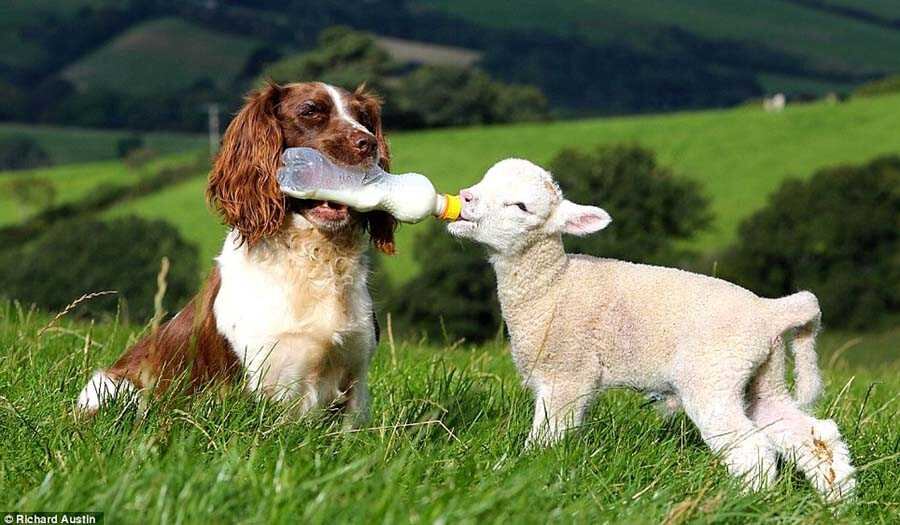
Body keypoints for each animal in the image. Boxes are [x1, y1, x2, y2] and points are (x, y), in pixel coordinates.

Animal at [447, 158, 856, 502]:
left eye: (520, 207)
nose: (465, 197)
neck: (553, 286)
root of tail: (770, 312)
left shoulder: (568, 374)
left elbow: (548, 435)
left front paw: (524, 472)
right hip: (762, 377)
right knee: (815, 435)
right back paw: (838, 501)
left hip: (712, 378)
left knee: (751, 449)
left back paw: (745, 502)